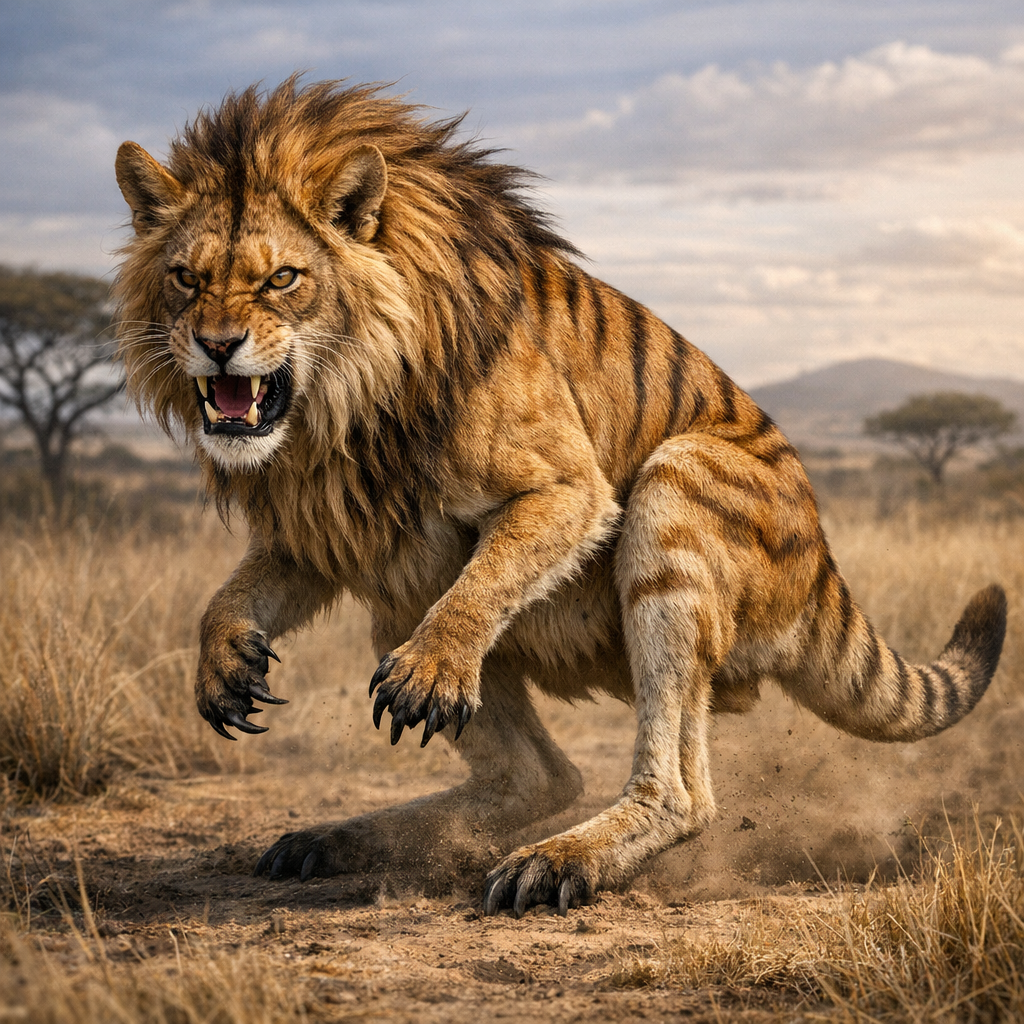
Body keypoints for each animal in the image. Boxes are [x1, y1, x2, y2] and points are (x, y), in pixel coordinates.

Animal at [113, 77, 1006, 916]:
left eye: (281, 280)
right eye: (185, 279)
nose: (217, 346)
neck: (339, 411)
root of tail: (823, 558)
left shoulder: (570, 489)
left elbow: (484, 583)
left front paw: (431, 672)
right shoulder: (335, 527)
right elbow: (230, 597)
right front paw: (224, 665)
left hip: (678, 482)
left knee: (680, 793)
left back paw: (553, 863)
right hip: (402, 585)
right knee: (542, 777)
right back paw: (328, 843)